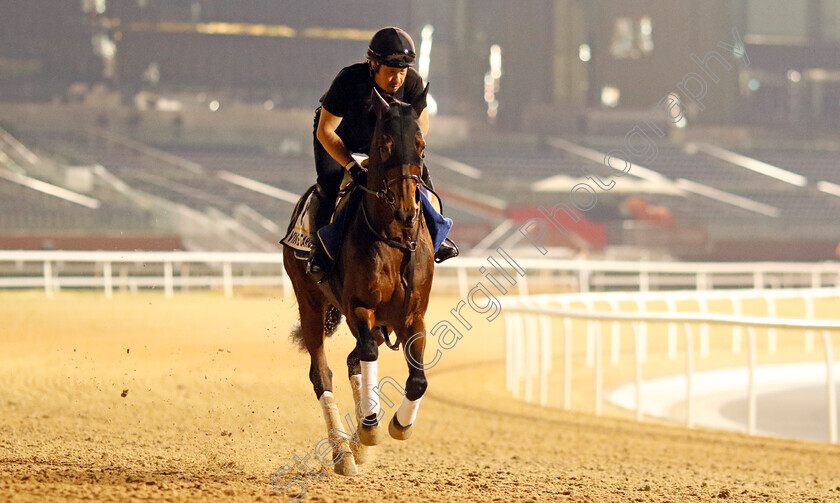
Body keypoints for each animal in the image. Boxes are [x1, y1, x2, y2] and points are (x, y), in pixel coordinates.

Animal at [286, 85, 436, 476]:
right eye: (384, 143)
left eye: (421, 145)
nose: (407, 208)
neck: (395, 240)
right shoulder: (359, 306)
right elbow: (366, 353)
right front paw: (370, 427)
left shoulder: (413, 316)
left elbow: (418, 380)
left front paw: (398, 424)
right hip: (310, 302)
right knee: (322, 372)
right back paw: (344, 452)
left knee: (354, 359)